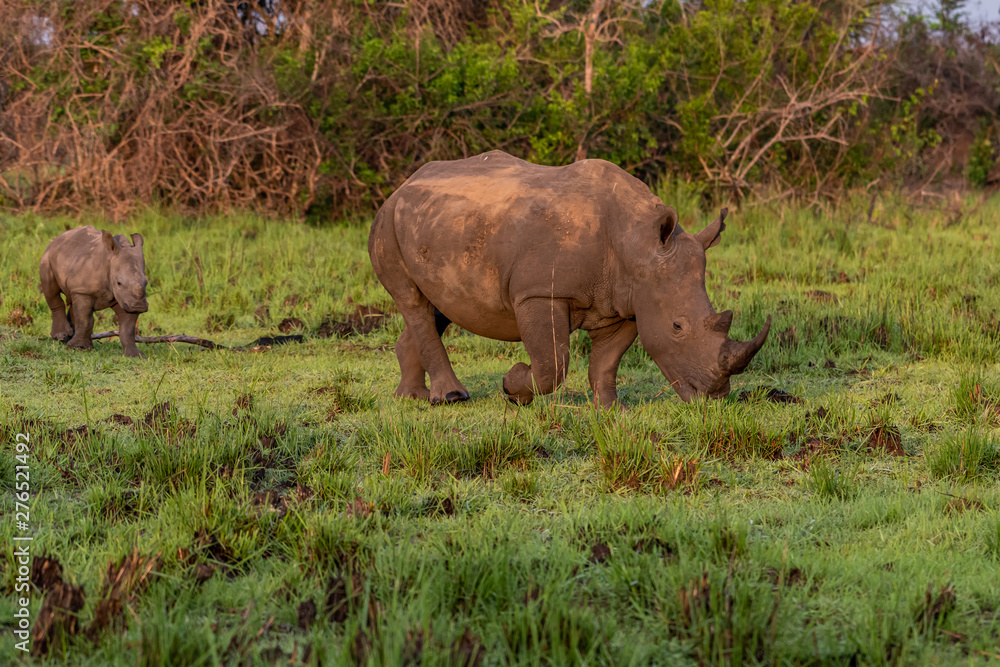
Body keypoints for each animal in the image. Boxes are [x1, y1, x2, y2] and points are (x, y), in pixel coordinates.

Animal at [39, 226, 149, 358]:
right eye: (118, 283)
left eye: (146, 282)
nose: (139, 306)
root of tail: (57, 238)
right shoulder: (84, 291)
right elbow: (86, 319)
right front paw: (80, 348)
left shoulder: (126, 299)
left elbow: (128, 328)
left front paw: (135, 355)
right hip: (48, 256)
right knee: (51, 291)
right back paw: (61, 337)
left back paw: (68, 339)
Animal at [368, 151, 770, 407]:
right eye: (677, 326)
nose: (714, 396)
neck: (638, 244)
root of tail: (403, 185)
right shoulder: (538, 293)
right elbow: (552, 363)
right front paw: (512, 387)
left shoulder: (627, 301)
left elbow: (607, 361)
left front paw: (609, 411)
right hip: (386, 222)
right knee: (414, 302)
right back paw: (451, 398)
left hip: (440, 224)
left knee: (438, 306)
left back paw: (412, 397)